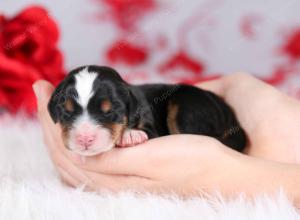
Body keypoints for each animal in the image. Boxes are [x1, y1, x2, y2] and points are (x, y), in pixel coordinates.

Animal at [48, 64, 246, 156]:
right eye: (67, 112)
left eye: (109, 111)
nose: (84, 138)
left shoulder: (151, 126)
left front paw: (130, 135)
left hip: (186, 106)